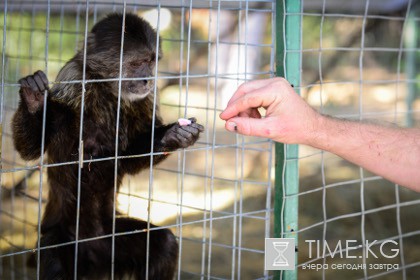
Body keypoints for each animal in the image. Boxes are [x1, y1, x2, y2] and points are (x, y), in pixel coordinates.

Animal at [12, 13, 203, 280]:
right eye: (137, 63)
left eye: (151, 62)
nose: (147, 79)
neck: (106, 87)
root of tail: (92, 253)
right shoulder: (73, 80)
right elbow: (30, 149)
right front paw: (33, 100)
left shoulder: (145, 97)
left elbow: (126, 161)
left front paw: (173, 135)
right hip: (65, 239)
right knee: (52, 257)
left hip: (110, 241)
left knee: (164, 244)